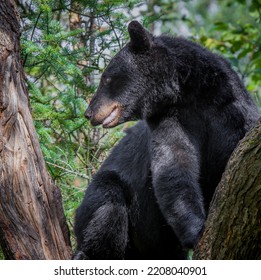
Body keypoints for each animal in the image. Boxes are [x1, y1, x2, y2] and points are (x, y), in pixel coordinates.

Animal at [72, 20, 258, 260]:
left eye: (107, 78)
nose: (88, 113)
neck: (187, 93)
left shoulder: (230, 109)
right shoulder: (170, 118)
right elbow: (173, 162)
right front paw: (196, 231)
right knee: (106, 203)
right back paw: (87, 253)